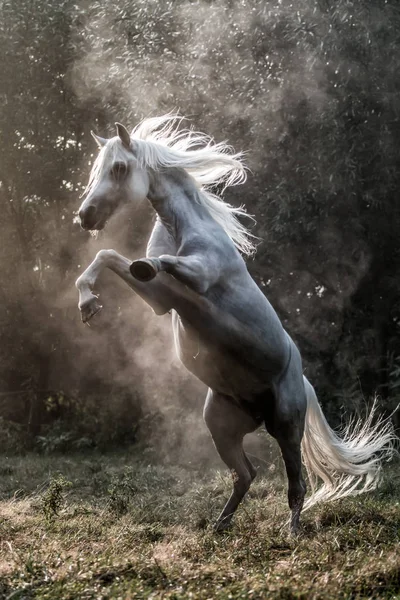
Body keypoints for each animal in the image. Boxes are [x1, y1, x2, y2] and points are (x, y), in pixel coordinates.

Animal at [75, 117, 394, 536]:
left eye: (118, 168)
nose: (85, 216)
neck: (182, 226)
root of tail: (301, 381)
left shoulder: (198, 279)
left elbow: (159, 264)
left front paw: (133, 273)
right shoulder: (162, 300)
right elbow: (108, 256)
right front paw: (87, 302)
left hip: (286, 425)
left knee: (296, 483)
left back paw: (291, 531)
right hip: (221, 426)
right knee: (245, 474)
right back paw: (219, 526)